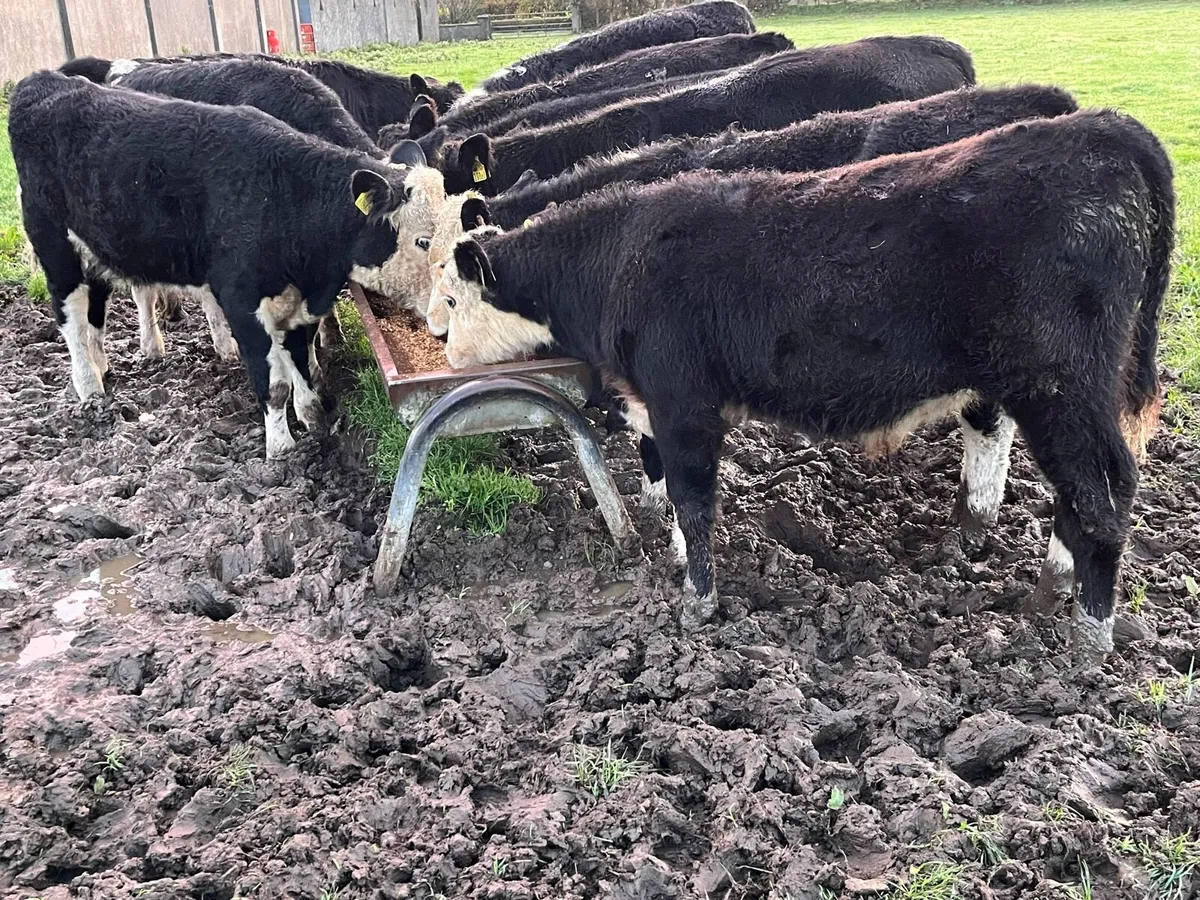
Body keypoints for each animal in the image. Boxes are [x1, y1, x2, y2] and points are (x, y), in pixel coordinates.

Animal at [10, 70, 424, 459]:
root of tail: (44, 81)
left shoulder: (299, 299)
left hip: (97, 246)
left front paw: (314, 416)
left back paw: (106, 367)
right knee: (73, 316)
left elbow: (301, 358)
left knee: (95, 308)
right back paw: (93, 386)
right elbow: (275, 381)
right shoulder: (243, 302)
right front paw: (282, 450)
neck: (286, 194)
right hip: (54, 244)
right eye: (422, 241)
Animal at [427, 108, 1175, 660]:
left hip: (1061, 388)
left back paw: (1088, 638)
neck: (619, 259)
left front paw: (697, 603)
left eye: (453, 298)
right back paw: (1050, 591)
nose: (436, 338)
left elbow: (694, 502)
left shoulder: (684, 403)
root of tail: (1105, 131)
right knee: (1084, 490)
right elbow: (672, 495)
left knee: (1102, 494)